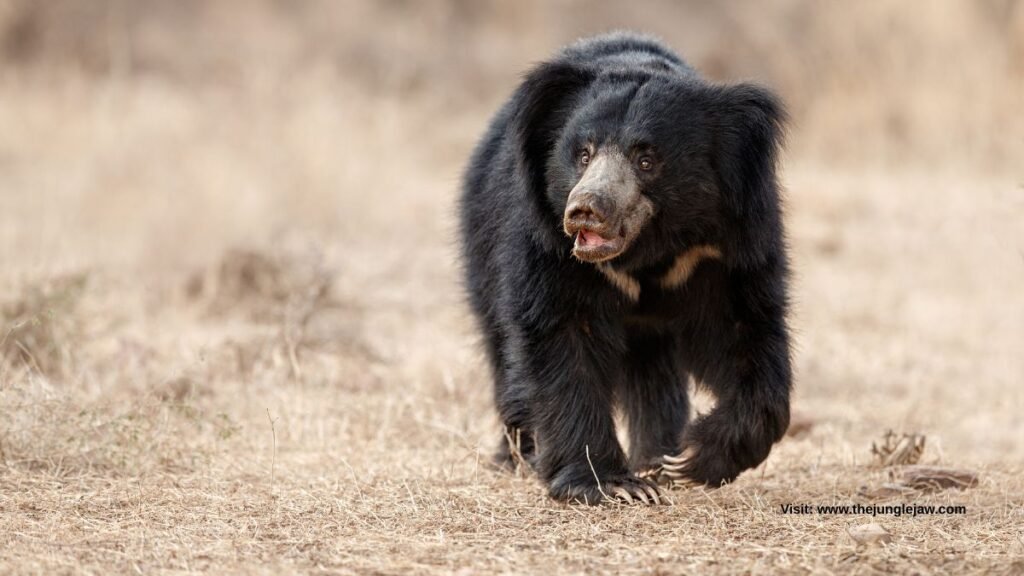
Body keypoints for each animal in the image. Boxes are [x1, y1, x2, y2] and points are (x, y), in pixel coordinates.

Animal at [459, 32, 792, 505]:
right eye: (583, 154)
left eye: (646, 160)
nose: (585, 210)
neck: (645, 252)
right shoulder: (547, 245)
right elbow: (562, 339)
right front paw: (613, 484)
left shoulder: (726, 245)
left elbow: (744, 331)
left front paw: (689, 458)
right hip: (482, 248)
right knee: (502, 350)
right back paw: (518, 456)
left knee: (654, 374)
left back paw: (657, 456)